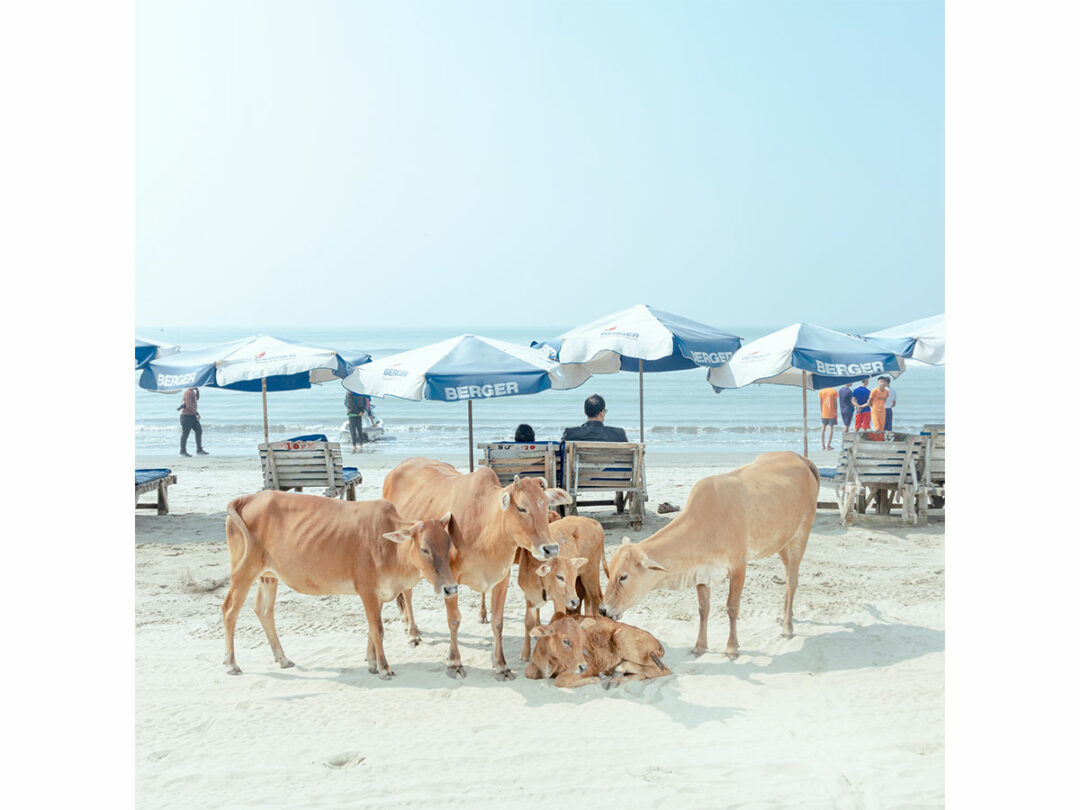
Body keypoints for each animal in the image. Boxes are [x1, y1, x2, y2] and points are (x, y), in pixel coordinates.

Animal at [219, 492, 455, 682]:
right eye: (424, 549)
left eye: (448, 544)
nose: (451, 589)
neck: (390, 547)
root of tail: (247, 498)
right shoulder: (367, 591)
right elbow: (377, 630)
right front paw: (384, 668)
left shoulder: (378, 594)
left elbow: (371, 629)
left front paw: (371, 663)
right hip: (244, 570)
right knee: (230, 610)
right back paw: (231, 664)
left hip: (268, 576)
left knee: (264, 610)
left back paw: (282, 658)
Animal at [386, 460, 578, 682]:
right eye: (522, 508)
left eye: (546, 505)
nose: (551, 549)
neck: (486, 527)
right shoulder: (450, 581)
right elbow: (454, 620)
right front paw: (454, 662)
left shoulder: (501, 578)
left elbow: (498, 622)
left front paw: (501, 665)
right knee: (407, 594)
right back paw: (412, 632)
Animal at [522, 613, 665, 691]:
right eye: (566, 641)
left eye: (582, 640)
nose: (583, 666)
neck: (550, 663)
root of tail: (655, 640)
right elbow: (529, 671)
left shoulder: (591, 664)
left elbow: (560, 679)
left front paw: (594, 679)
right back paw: (615, 680)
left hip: (622, 637)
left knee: (661, 670)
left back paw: (618, 670)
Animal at [600, 451, 816, 660]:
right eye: (608, 573)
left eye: (623, 577)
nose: (603, 609)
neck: (706, 523)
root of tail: (800, 458)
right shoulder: (701, 572)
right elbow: (703, 609)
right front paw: (700, 646)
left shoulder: (738, 566)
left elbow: (732, 607)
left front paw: (731, 648)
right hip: (783, 542)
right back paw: (784, 616)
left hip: (801, 536)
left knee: (792, 581)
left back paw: (787, 627)